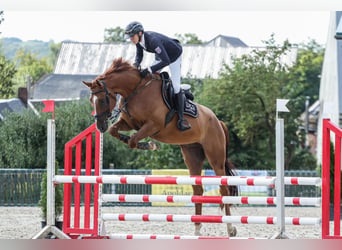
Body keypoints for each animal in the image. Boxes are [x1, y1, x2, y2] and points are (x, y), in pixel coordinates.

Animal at [83, 57, 238, 236]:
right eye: (91, 101)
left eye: (102, 100)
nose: (100, 126)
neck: (136, 90)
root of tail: (217, 120)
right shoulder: (129, 123)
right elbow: (115, 131)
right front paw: (140, 142)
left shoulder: (153, 125)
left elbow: (133, 140)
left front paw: (149, 145)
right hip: (192, 155)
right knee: (197, 190)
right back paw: (197, 230)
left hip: (215, 156)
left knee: (224, 189)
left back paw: (230, 228)